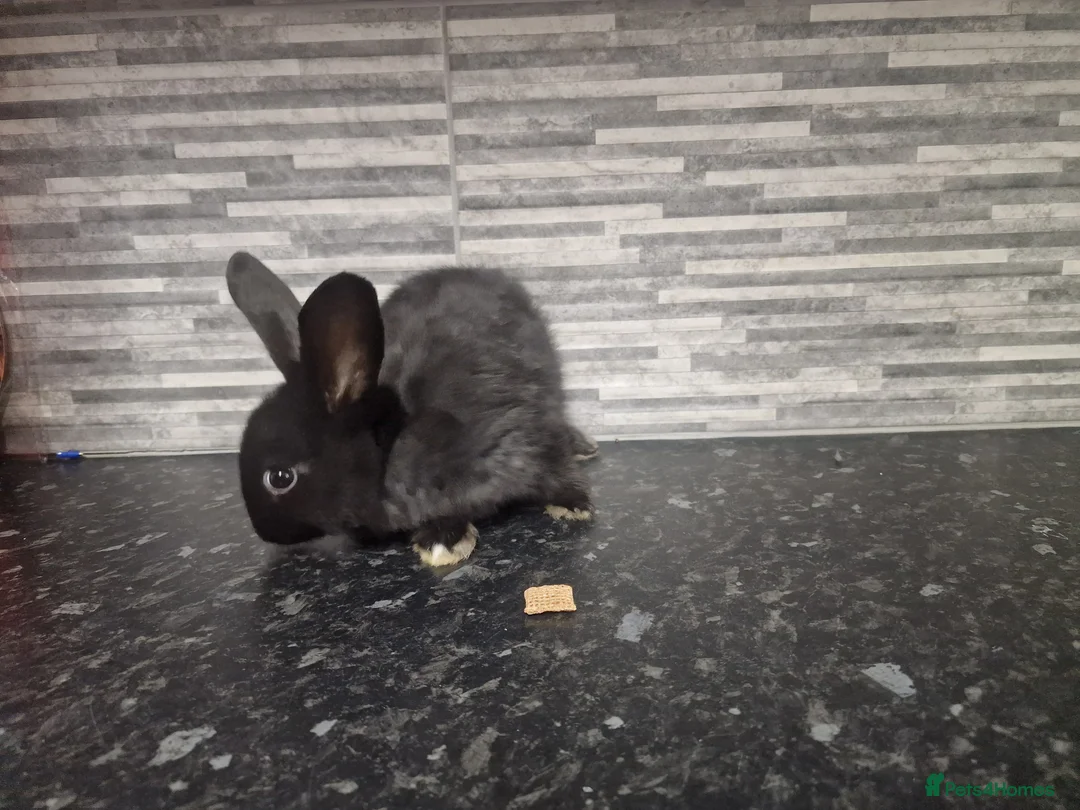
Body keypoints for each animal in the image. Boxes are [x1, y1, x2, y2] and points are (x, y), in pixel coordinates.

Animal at [226, 252, 598, 567]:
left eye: (280, 478)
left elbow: (552, 469)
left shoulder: (518, 436)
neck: (390, 445)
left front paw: (573, 504)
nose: (264, 533)